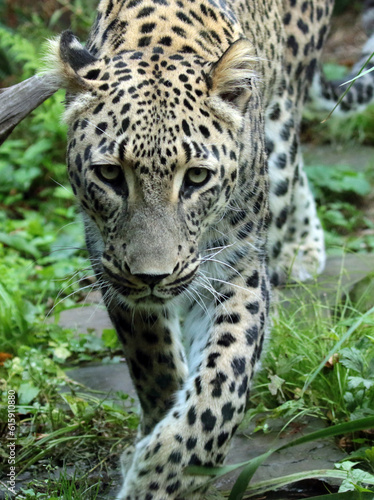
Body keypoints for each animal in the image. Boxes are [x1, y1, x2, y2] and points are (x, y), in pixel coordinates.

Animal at [38, 0, 374, 498]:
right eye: (110, 174)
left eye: (196, 177)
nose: (153, 277)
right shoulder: (111, 267)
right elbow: (155, 366)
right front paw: (150, 441)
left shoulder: (238, 273)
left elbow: (219, 392)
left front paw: (162, 480)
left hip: (285, 101)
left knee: (288, 157)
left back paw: (299, 246)